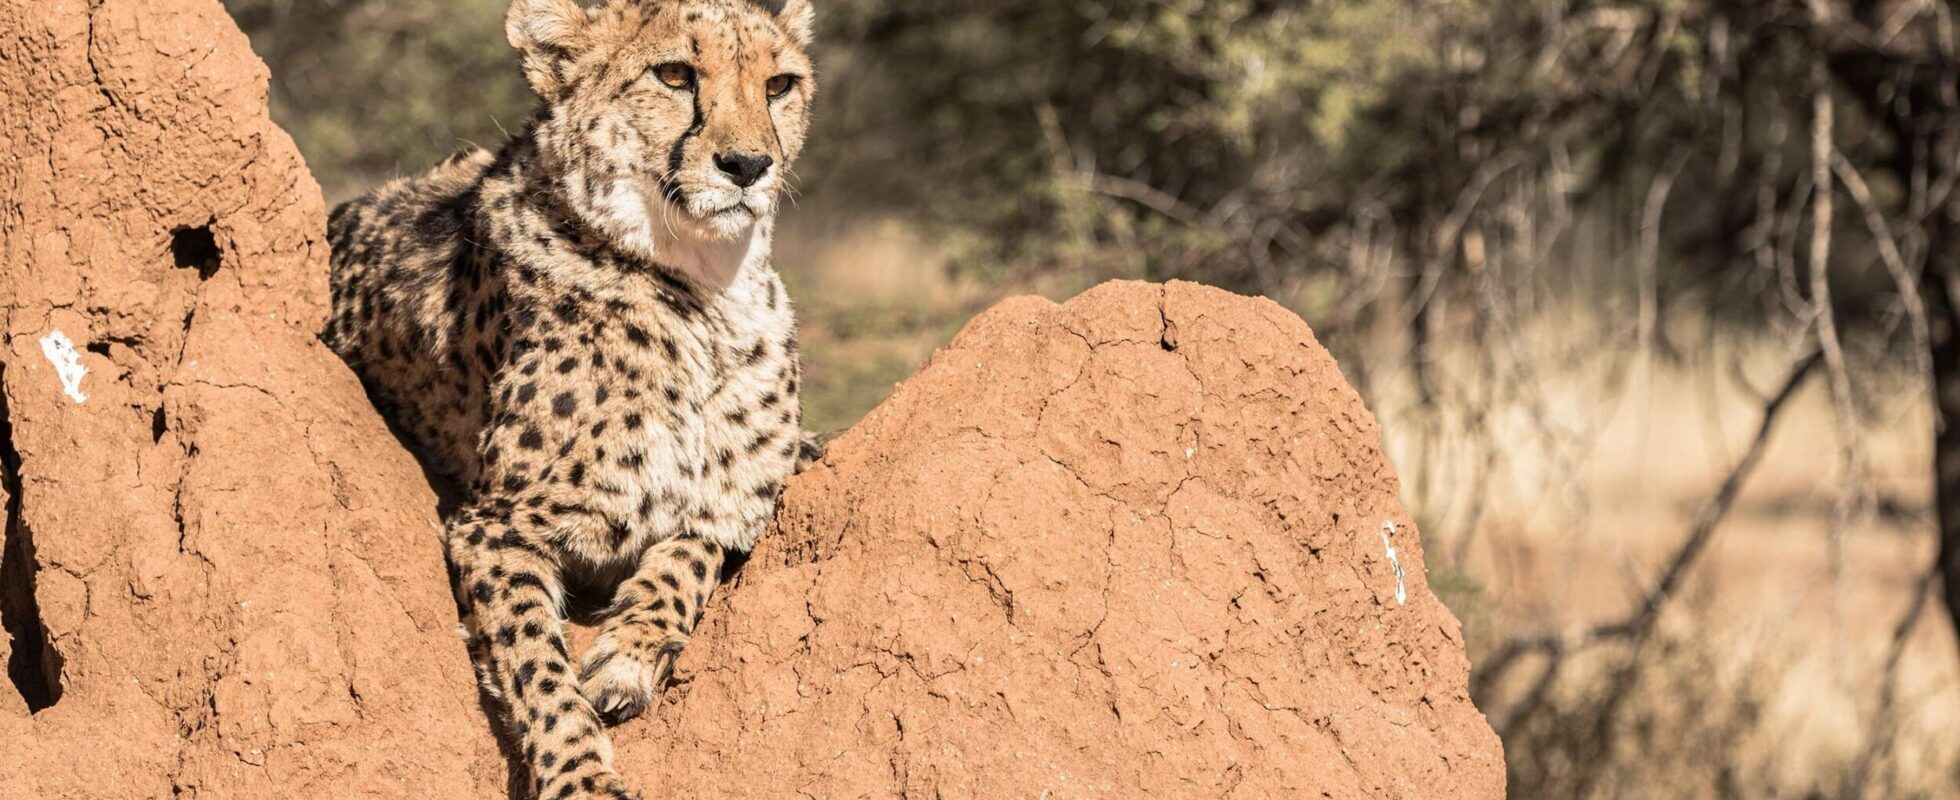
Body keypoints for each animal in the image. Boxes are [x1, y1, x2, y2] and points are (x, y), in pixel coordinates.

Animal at [320, 1, 818, 797]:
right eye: (674, 75)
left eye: (780, 85)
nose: (748, 166)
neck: (707, 287)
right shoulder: (491, 525)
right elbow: (537, 665)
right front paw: (583, 777)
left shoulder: (733, 502)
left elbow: (692, 555)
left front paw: (630, 655)